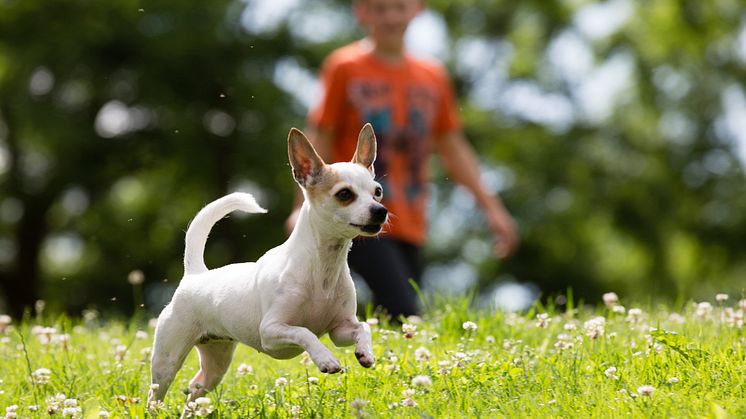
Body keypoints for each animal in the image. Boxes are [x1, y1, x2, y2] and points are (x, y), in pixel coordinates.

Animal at [147, 124, 386, 410]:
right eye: (344, 194)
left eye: (378, 191)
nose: (380, 210)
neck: (323, 267)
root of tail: (195, 274)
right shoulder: (271, 332)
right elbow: (305, 332)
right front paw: (325, 359)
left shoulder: (340, 329)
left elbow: (363, 328)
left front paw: (365, 352)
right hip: (167, 361)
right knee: (155, 394)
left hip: (217, 359)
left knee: (195, 389)